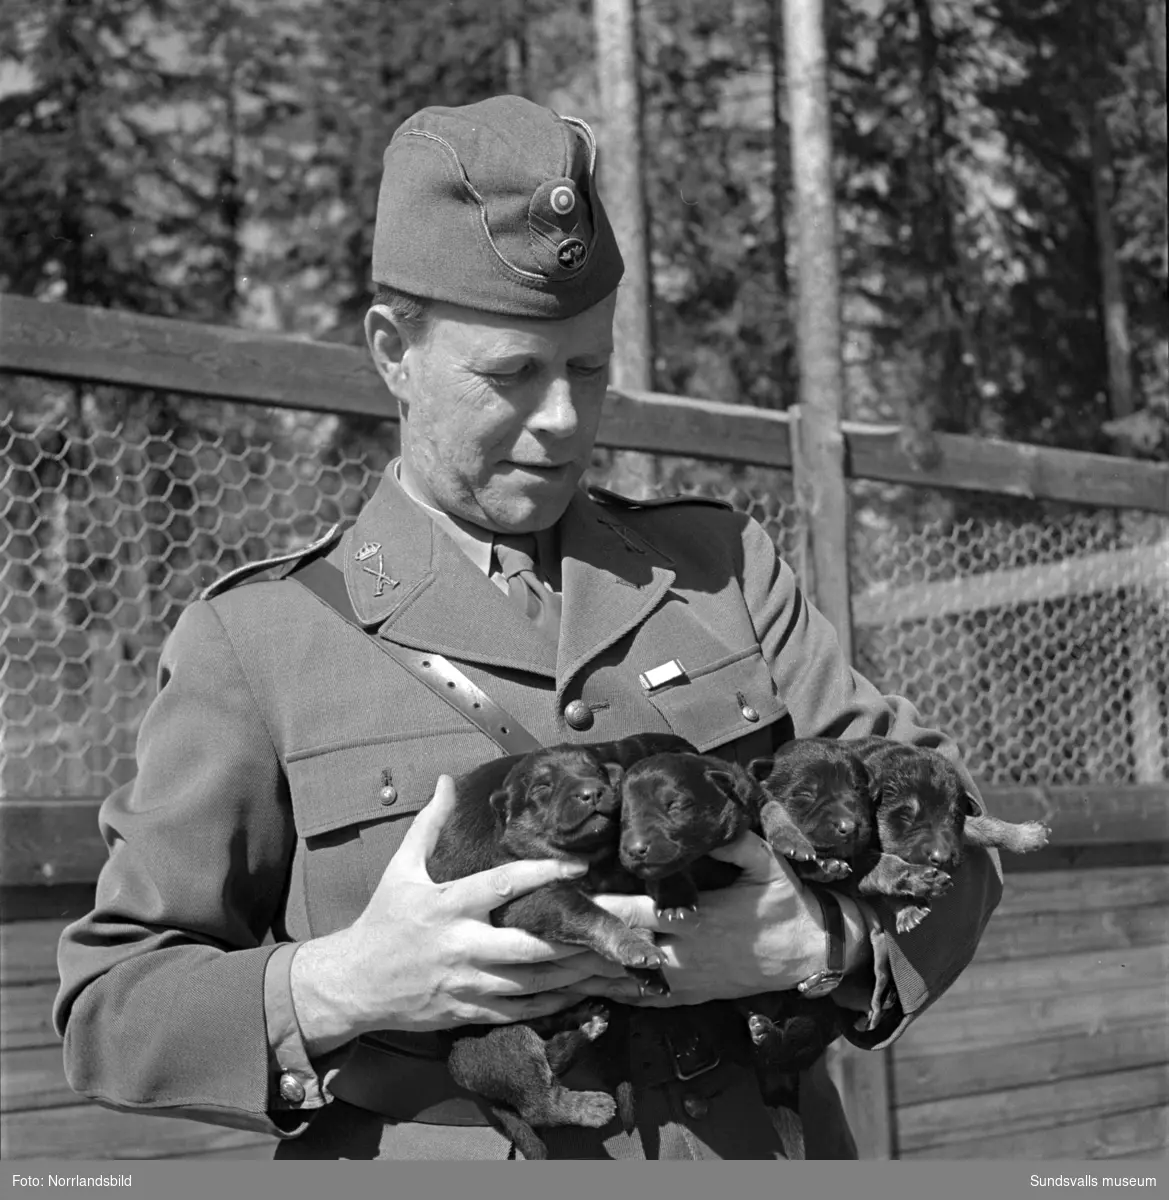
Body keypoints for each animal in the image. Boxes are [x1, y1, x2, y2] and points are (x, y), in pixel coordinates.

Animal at [427, 734, 696, 1156]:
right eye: (542, 787)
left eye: (597, 771)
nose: (593, 792)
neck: (594, 860)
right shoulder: (529, 900)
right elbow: (593, 915)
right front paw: (632, 946)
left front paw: (646, 958)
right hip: (502, 1041)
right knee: (540, 1102)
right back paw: (593, 1104)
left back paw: (588, 1022)